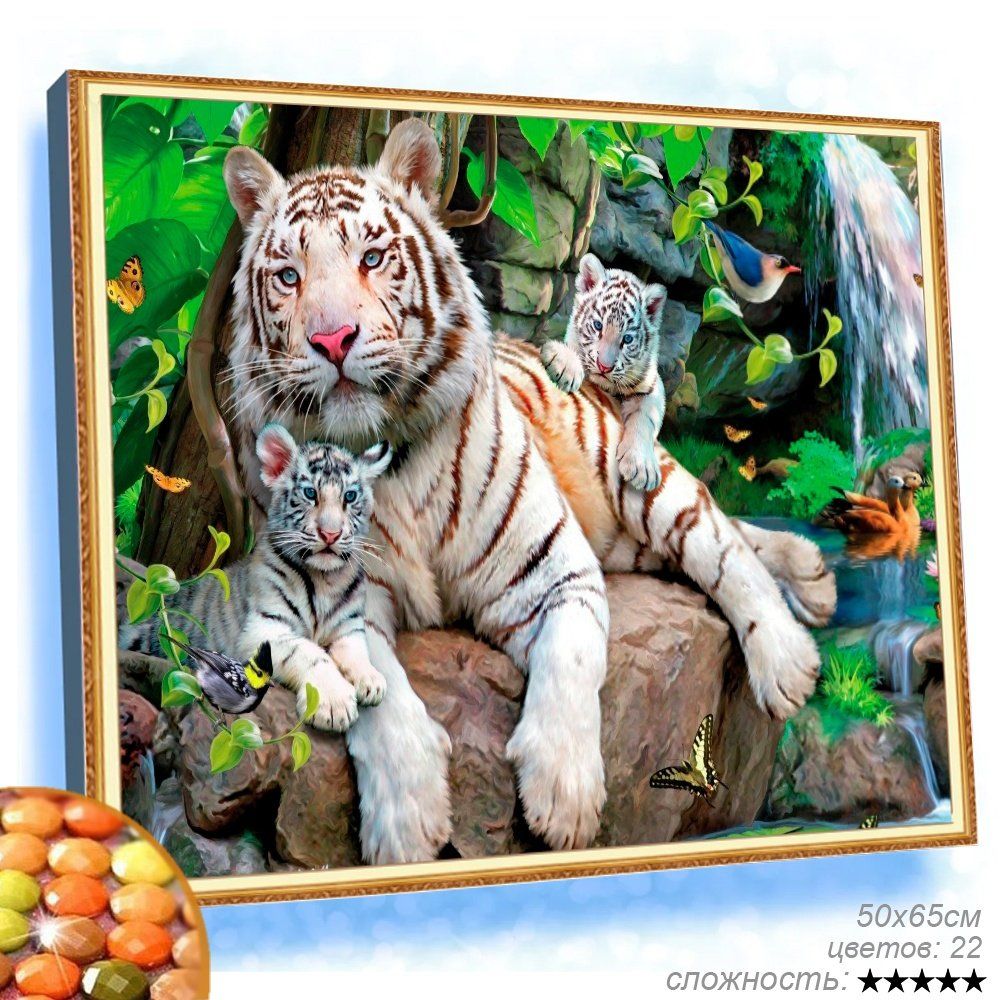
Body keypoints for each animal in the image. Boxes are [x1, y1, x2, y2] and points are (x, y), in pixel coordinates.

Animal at [121, 425, 392, 731]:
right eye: (310, 493)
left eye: (350, 497)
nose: (331, 534)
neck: (325, 579)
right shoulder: (263, 629)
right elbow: (310, 653)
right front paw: (334, 703)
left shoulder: (348, 626)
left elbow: (356, 649)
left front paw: (370, 679)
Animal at [541, 254, 667, 491]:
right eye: (598, 326)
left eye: (627, 339)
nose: (604, 366)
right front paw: (565, 365)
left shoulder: (652, 387)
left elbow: (645, 418)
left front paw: (641, 466)